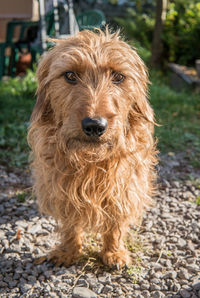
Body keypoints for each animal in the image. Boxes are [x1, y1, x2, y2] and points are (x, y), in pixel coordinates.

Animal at [27, 28, 157, 268]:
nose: (95, 126)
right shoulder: (58, 184)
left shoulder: (124, 184)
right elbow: (70, 220)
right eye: (70, 75)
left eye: (118, 76)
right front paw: (69, 251)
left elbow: (116, 217)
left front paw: (113, 252)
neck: (90, 159)